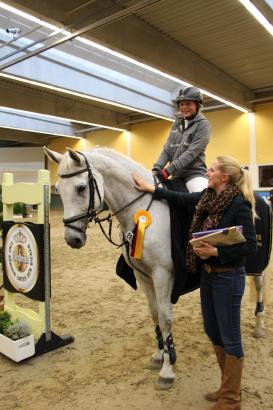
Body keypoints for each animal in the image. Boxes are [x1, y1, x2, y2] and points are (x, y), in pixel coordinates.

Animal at [44, 147, 175, 388]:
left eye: (81, 187)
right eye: (58, 189)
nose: (72, 239)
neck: (143, 212)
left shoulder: (163, 274)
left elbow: (165, 318)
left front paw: (167, 371)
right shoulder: (144, 275)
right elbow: (154, 314)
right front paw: (157, 357)